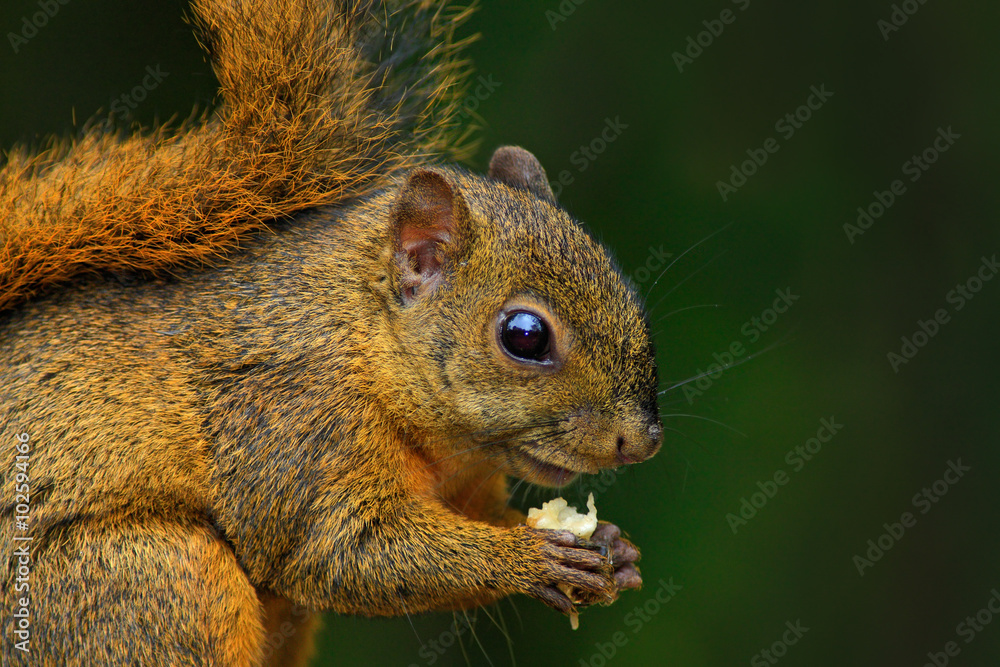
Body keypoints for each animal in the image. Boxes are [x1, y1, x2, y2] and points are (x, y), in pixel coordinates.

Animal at [3, 0, 668, 664]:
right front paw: (530, 558)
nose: (642, 442)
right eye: (525, 336)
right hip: (144, 582)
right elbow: (337, 552)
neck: (359, 340)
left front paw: (614, 549)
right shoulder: (293, 421)